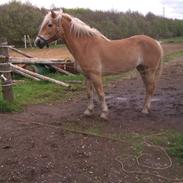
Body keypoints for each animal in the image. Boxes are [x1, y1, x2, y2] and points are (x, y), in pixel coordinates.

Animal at [34, 10, 163, 119]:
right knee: (148, 88)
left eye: (49, 25)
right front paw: (88, 111)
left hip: (149, 70)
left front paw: (104, 113)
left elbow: (100, 93)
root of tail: (156, 42)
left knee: (150, 88)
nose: (38, 42)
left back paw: (145, 110)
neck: (86, 46)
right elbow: (89, 93)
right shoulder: (87, 76)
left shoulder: (95, 75)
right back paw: (145, 108)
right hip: (142, 70)